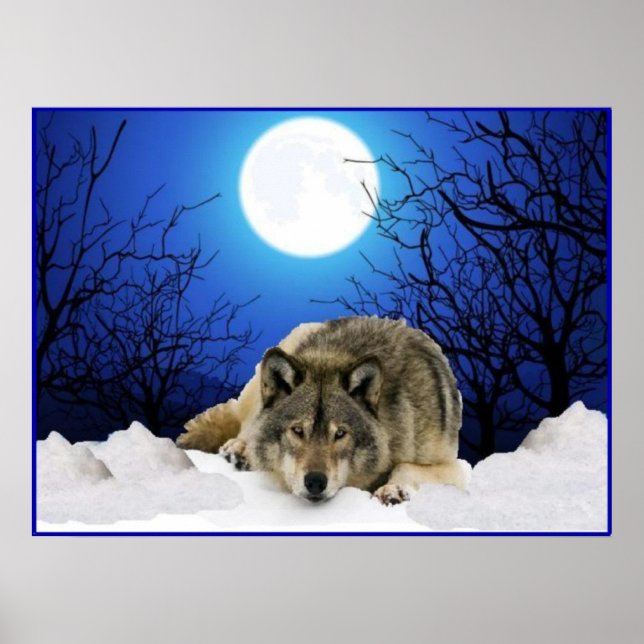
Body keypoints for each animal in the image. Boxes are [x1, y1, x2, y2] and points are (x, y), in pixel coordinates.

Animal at [177, 317, 467, 504]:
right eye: (297, 430)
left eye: (340, 434)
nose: (315, 482)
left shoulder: (454, 467)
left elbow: (406, 466)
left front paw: (393, 489)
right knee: (248, 423)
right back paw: (239, 450)